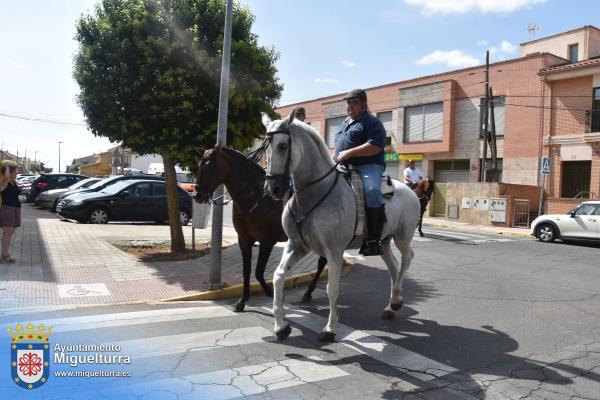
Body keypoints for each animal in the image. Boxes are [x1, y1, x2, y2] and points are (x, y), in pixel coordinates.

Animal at [193, 145, 326, 312]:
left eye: (210, 166)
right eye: (199, 165)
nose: (197, 195)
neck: (257, 196)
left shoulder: (267, 241)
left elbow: (258, 272)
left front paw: (271, 293)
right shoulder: (244, 240)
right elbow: (247, 270)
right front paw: (242, 301)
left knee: (322, 262)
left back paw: (309, 292)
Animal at [260, 109, 420, 340]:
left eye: (283, 146)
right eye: (265, 147)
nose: (272, 188)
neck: (313, 194)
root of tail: (410, 190)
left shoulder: (334, 251)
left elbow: (332, 289)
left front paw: (329, 329)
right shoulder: (296, 246)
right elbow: (278, 276)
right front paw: (281, 327)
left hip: (402, 237)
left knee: (406, 260)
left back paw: (396, 302)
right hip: (383, 242)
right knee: (393, 266)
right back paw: (391, 305)